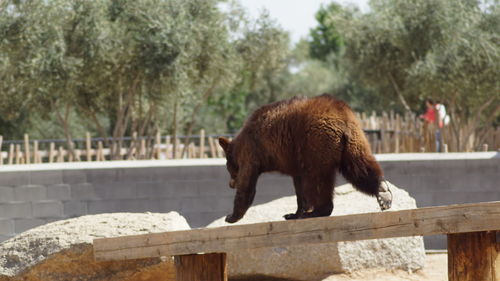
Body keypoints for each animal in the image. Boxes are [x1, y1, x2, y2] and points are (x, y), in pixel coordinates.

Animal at [219, 94, 390, 223]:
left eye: (228, 167)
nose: (230, 184)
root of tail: (341, 116)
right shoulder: (295, 159)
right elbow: (299, 186)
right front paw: (294, 213)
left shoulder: (251, 151)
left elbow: (247, 182)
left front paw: (231, 216)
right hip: (354, 141)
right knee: (359, 166)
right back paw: (383, 192)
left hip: (316, 142)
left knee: (316, 179)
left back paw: (318, 211)